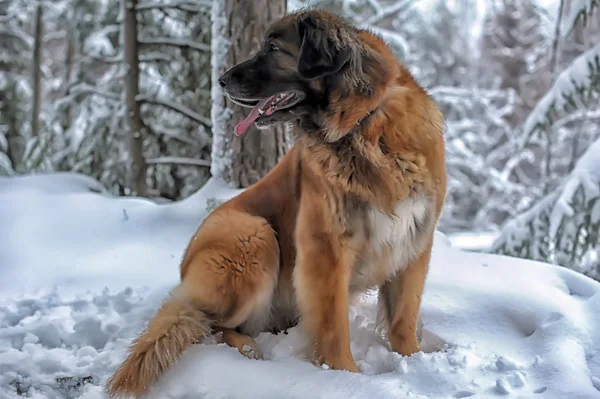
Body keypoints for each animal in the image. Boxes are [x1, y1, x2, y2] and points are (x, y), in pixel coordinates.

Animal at [106, 7, 446, 398]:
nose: (221, 80)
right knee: (204, 323)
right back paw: (247, 349)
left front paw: (412, 361)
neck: (363, 126)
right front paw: (345, 378)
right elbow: (334, 327)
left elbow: (404, 316)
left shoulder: (414, 240)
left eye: (272, 49)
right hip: (253, 236)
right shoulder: (325, 251)